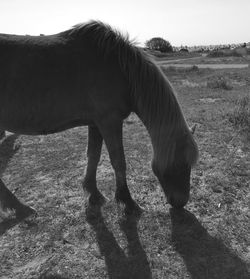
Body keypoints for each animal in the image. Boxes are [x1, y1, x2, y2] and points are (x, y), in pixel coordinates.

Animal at [0, 20, 199, 220]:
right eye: (180, 164)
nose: (181, 202)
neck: (120, 68)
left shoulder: (95, 123)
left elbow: (93, 156)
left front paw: (93, 193)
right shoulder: (110, 122)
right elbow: (118, 161)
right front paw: (127, 201)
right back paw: (19, 207)